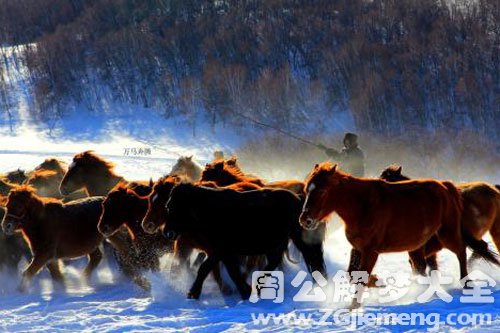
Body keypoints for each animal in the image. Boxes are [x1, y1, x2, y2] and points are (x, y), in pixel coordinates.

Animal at [143, 183, 326, 300]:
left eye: (180, 208)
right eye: (169, 206)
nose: (168, 232)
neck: (205, 211)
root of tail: (298, 199)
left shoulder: (218, 251)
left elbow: (204, 269)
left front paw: (193, 293)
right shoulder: (223, 253)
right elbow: (233, 271)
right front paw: (245, 291)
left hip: (297, 241)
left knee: (311, 259)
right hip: (275, 245)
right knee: (275, 262)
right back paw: (258, 286)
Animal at [298, 162, 498, 308]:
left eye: (322, 191)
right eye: (307, 189)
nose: (305, 219)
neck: (362, 205)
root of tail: (446, 186)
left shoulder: (371, 251)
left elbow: (361, 277)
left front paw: (354, 306)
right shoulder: (358, 248)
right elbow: (353, 273)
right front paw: (377, 282)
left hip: (447, 234)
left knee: (461, 252)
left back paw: (466, 283)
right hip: (419, 246)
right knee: (423, 265)